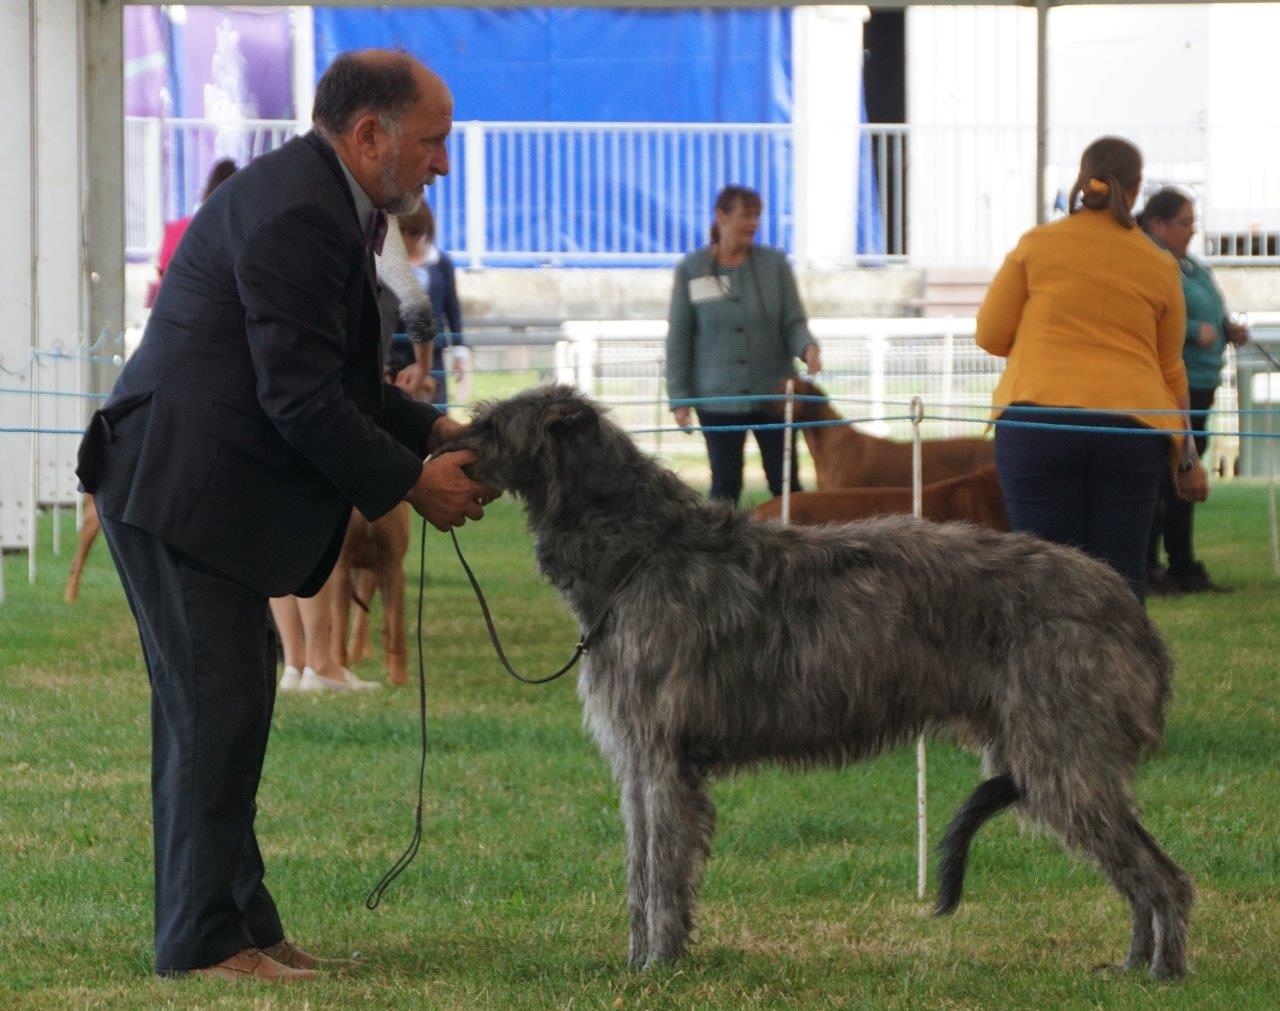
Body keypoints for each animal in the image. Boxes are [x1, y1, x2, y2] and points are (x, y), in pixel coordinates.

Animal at [330, 506, 409, 691]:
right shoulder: (341, 568)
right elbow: (339, 630)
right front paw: (341, 672)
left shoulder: (392, 567)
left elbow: (396, 629)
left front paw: (398, 678)